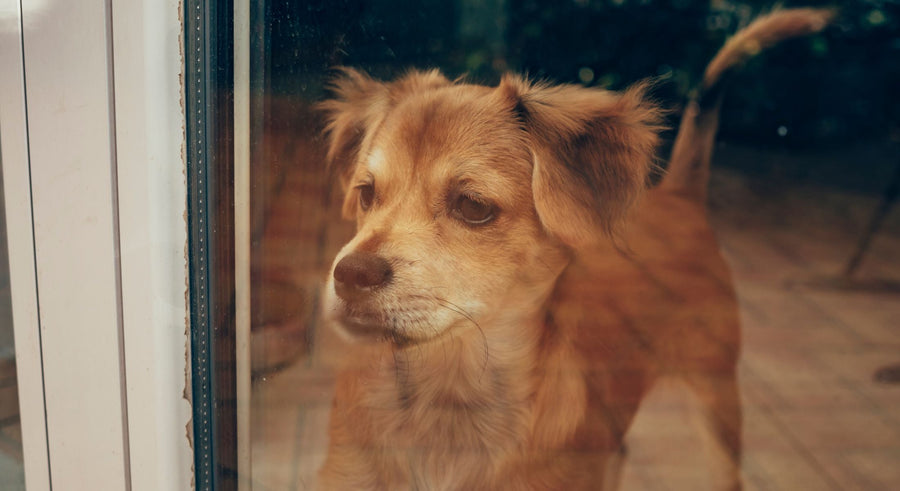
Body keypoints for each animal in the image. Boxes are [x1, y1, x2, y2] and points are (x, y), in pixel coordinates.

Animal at [318, 8, 836, 491]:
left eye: (473, 206)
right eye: (366, 193)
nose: (350, 274)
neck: (447, 405)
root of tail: (678, 194)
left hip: (717, 394)